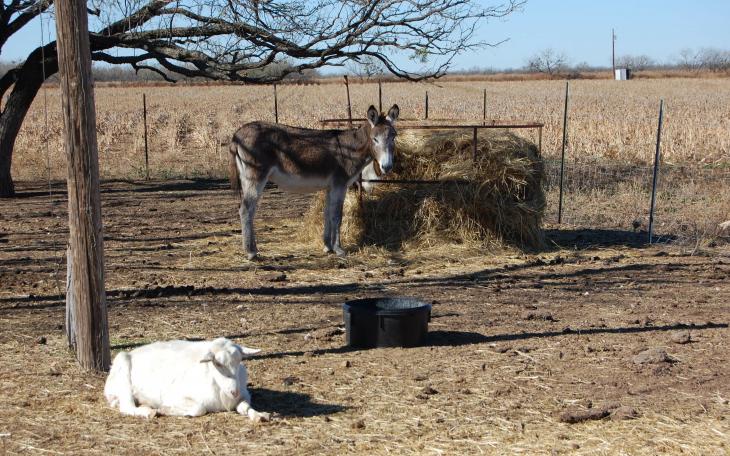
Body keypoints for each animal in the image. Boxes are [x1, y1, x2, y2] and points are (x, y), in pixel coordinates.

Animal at [104, 337, 270, 421]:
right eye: (217, 363)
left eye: (239, 360)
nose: (234, 391)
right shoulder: (173, 396)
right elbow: (199, 408)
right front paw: (163, 409)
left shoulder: (244, 396)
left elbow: (245, 407)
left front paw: (260, 416)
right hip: (122, 364)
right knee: (126, 406)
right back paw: (147, 412)